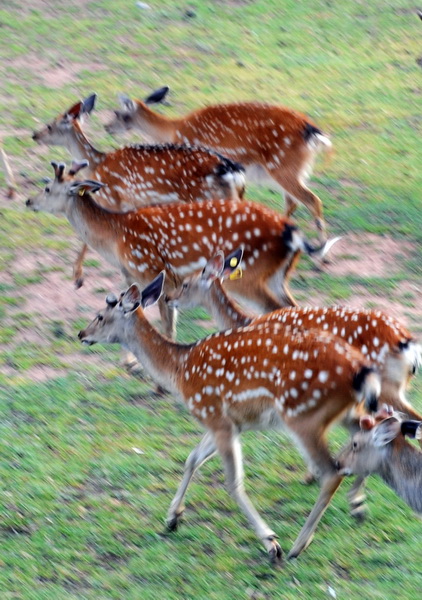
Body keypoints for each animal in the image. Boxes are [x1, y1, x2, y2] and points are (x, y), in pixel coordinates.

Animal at [26, 162, 336, 340]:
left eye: (47, 187)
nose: (29, 201)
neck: (115, 238)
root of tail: (293, 234)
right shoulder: (132, 276)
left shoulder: (153, 269)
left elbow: (166, 322)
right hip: (276, 277)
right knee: (293, 305)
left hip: (248, 276)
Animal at [32, 94, 244, 288]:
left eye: (51, 125)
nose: (35, 135)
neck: (96, 164)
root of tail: (233, 173)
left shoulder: (111, 198)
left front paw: (78, 277)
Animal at [79, 272, 382, 564]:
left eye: (100, 316)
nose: (82, 333)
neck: (179, 373)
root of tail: (360, 369)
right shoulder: (223, 422)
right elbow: (192, 459)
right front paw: (172, 518)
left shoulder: (214, 416)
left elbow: (232, 482)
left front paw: (271, 542)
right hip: (346, 412)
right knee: (371, 432)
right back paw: (357, 506)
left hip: (302, 415)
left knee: (331, 471)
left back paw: (298, 545)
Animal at [105, 87, 332, 241]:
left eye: (118, 113)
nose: (107, 127)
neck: (174, 130)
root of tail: (313, 132)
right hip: (290, 170)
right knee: (293, 202)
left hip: (283, 168)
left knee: (311, 200)